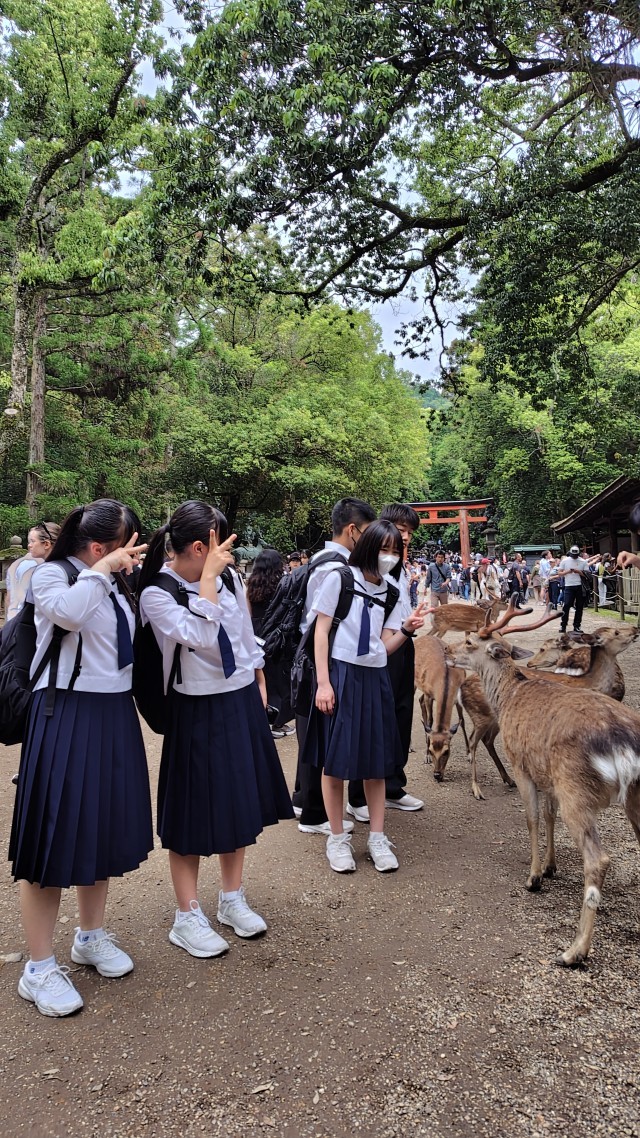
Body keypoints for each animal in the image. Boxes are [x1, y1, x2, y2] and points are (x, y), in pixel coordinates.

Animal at [447, 603, 640, 967]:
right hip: (632, 793)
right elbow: (549, 817)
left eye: (469, 641)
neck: (508, 696)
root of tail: (623, 742)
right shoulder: (546, 775)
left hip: (576, 789)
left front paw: (534, 877)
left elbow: (533, 818)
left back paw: (574, 951)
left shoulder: (522, 763)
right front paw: (551, 867)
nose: (448, 652)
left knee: (598, 859)